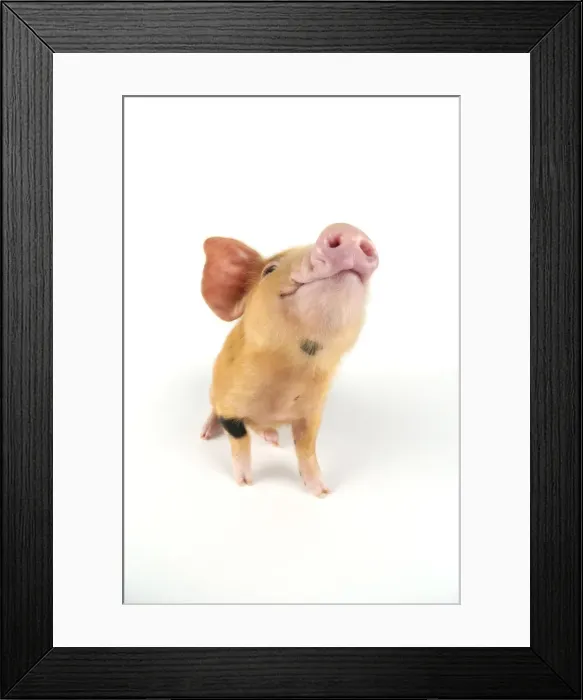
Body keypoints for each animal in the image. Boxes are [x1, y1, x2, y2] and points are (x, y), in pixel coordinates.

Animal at [199, 223, 379, 496]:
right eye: (269, 270)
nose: (348, 229)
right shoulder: (230, 403)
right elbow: (239, 439)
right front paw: (246, 483)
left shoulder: (312, 412)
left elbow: (306, 449)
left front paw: (322, 492)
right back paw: (206, 434)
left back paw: (273, 439)